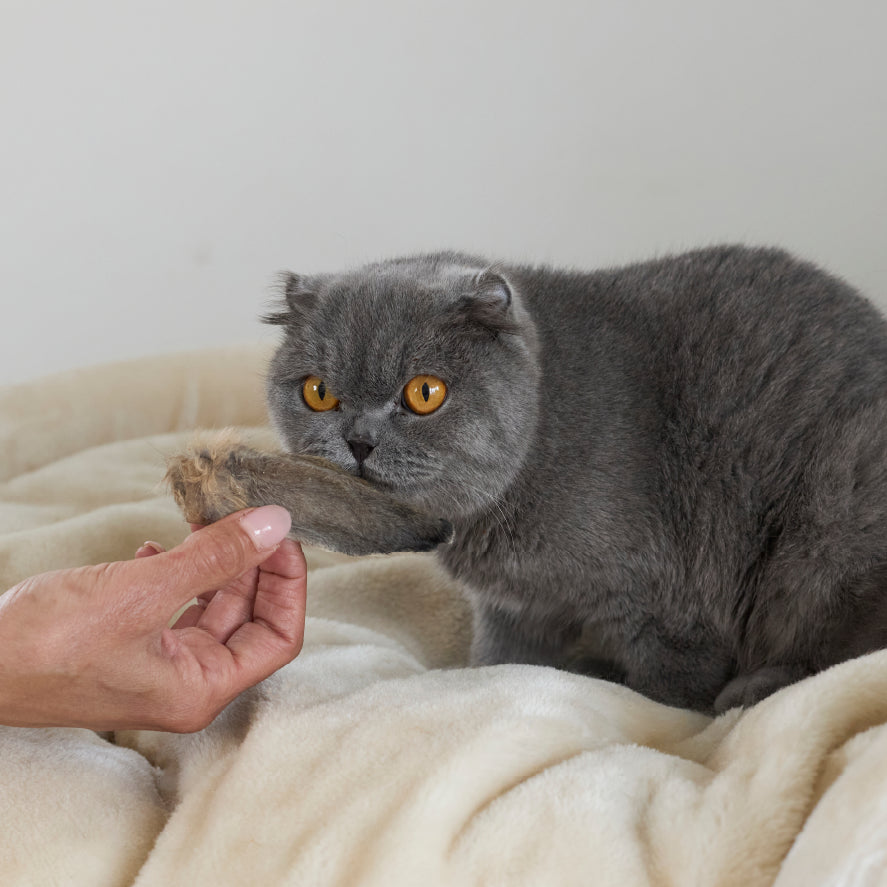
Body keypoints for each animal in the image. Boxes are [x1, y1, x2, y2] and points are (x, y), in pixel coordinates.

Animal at [258, 248, 887, 716]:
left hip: (832, 517)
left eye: (425, 392)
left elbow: (669, 688)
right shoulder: (517, 607)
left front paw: (666, 715)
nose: (359, 441)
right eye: (319, 392)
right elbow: (501, 662)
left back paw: (748, 690)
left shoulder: (670, 599)